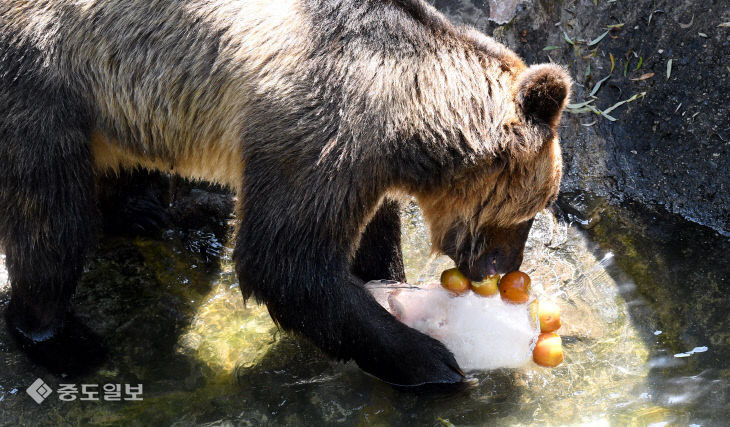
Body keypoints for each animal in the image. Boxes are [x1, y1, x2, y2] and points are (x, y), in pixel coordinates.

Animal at [0, 0, 564, 388]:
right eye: (530, 211)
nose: (506, 266)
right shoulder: (314, 132)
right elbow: (285, 262)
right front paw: (431, 359)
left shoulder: (362, 164)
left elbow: (366, 233)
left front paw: (388, 278)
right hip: (46, 81)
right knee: (50, 218)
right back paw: (59, 338)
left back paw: (146, 210)